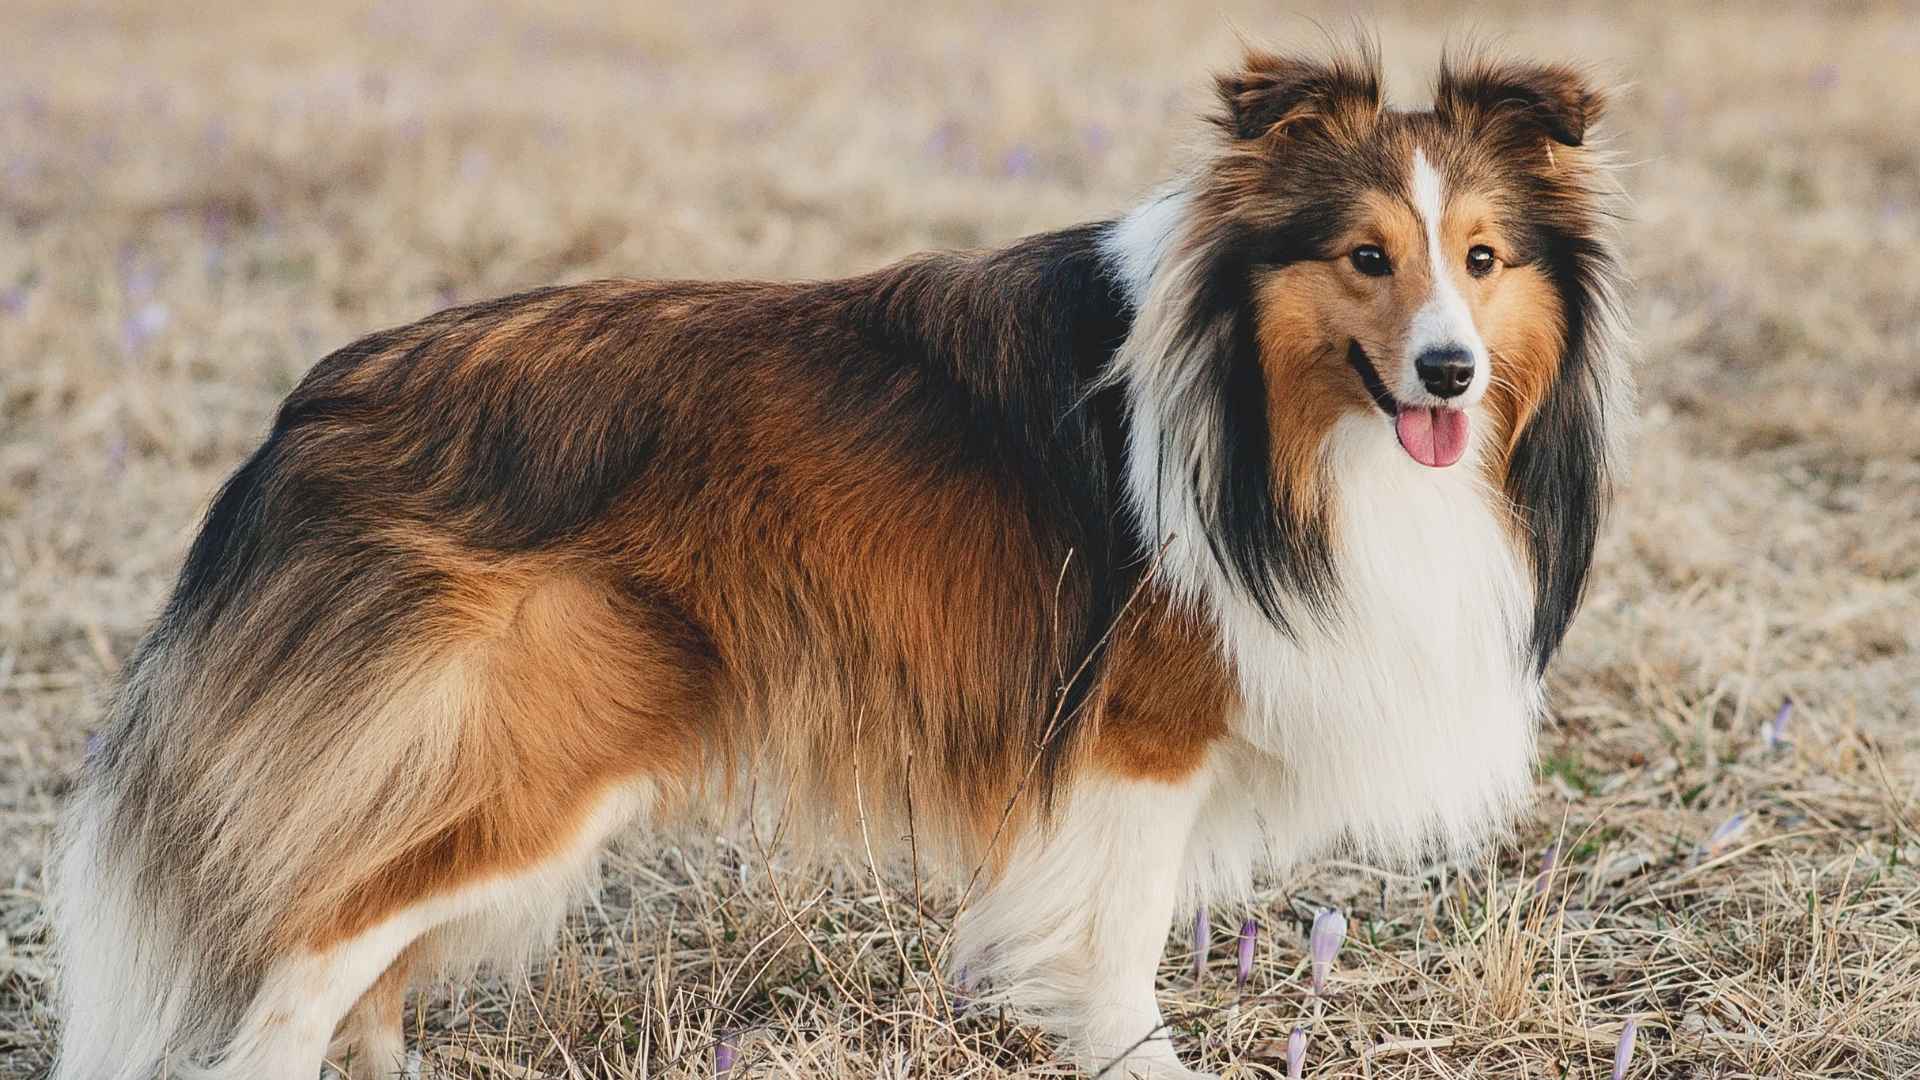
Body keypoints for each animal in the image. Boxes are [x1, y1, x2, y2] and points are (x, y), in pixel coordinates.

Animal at [52, 42, 1628, 1076]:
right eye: (1365, 255)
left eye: (1483, 258)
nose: (1448, 372)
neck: (1262, 406)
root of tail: (311, 407)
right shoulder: (1138, 743)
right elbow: (1118, 962)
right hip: (521, 757)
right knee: (300, 976)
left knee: (361, 981)